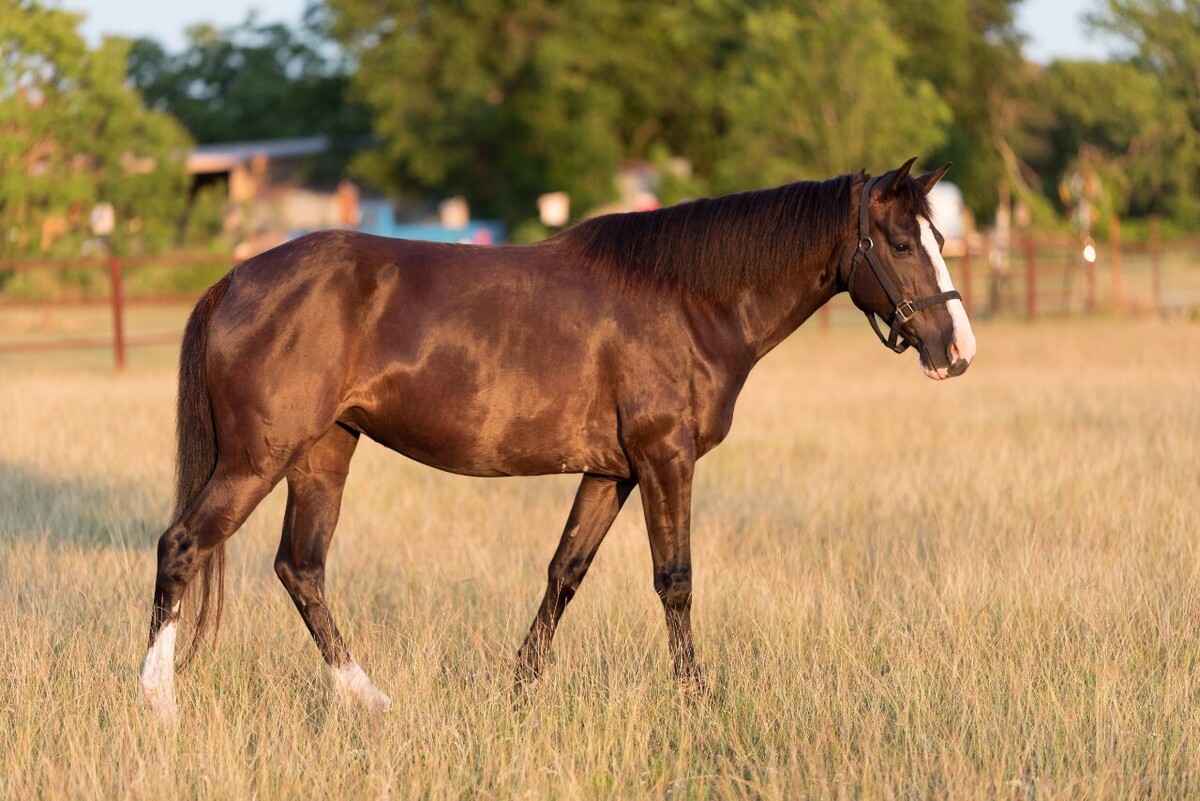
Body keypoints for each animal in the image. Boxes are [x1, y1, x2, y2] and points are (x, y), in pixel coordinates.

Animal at [138, 158, 976, 722]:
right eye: (902, 243)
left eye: (938, 236)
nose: (957, 348)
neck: (686, 299)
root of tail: (235, 280)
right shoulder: (664, 458)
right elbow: (676, 579)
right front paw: (697, 698)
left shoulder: (614, 472)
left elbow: (564, 573)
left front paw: (518, 690)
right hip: (258, 459)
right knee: (182, 545)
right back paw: (160, 702)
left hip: (323, 453)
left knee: (300, 569)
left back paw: (370, 699)